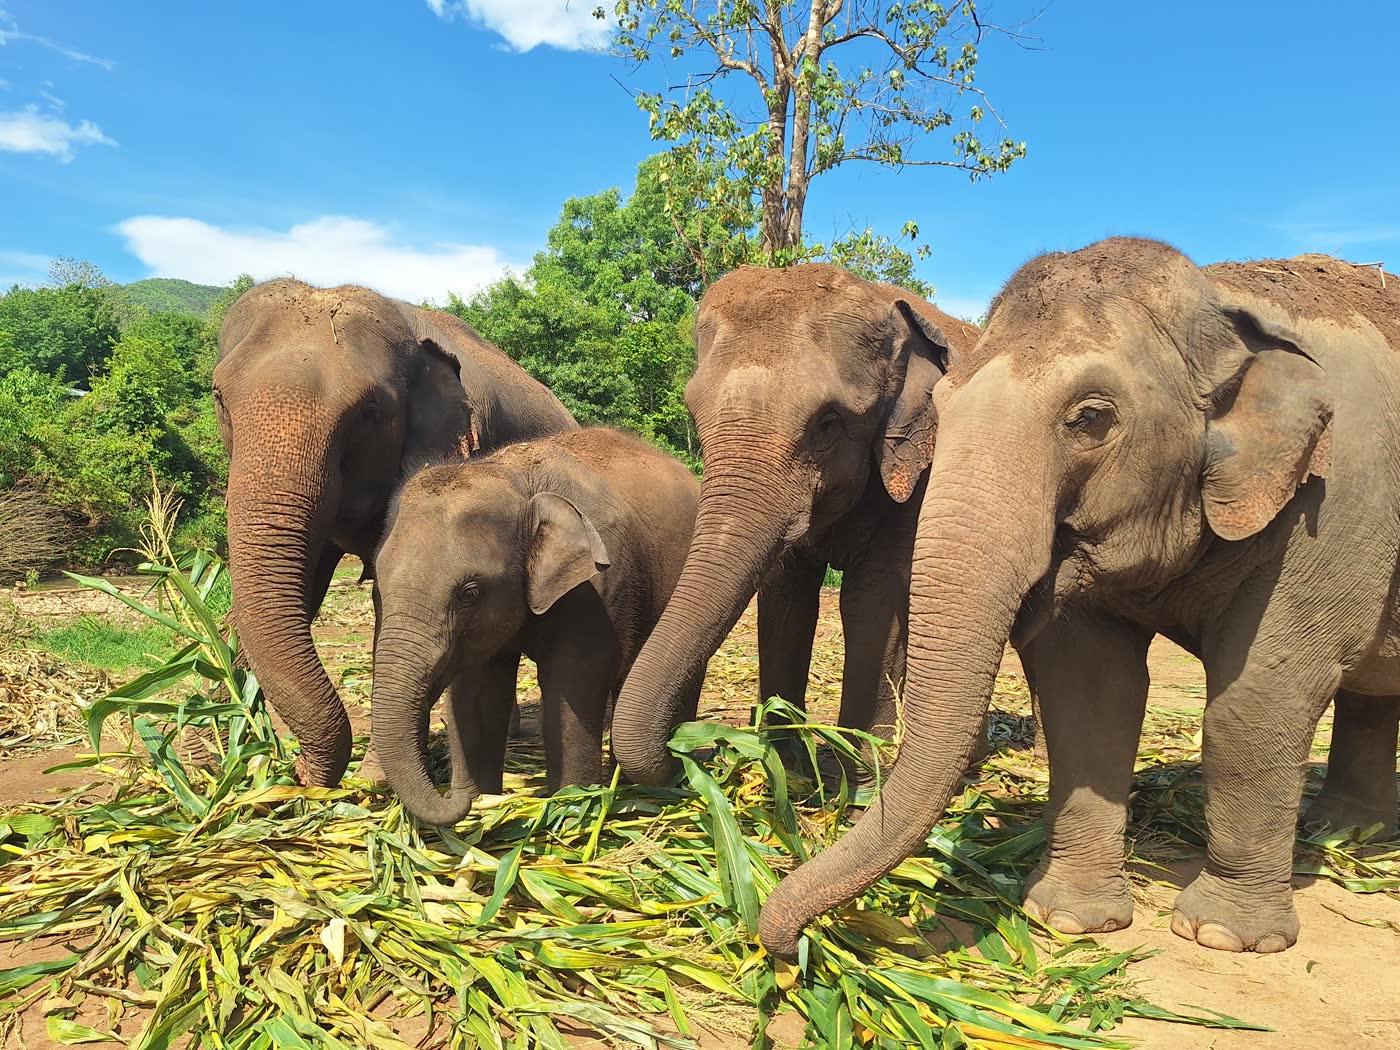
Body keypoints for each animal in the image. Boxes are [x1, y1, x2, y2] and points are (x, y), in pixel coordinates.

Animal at [214, 279, 577, 787]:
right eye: (218, 397)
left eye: (369, 412)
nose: (297, 768)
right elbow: (304, 589)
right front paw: (209, 761)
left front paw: (374, 781)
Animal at [370, 427, 701, 824]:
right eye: (378, 582)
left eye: (469, 592)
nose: (450, 793)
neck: (516, 480)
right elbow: (479, 688)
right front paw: (482, 801)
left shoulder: (598, 584)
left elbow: (573, 681)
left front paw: (570, 806)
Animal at [612, 263, 980, 788]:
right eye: (692, 413)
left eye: (828, 423)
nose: (687, 749)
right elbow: (787, 598)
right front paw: (787, 767)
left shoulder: (918, 474)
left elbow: (872, 601)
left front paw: (862, 782)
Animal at [758, 238, 1400, 959]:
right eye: (941, 407)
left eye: (1091, 419)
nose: (781, 939)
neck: (1223, 303)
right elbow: (1091, 690)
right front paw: (1066, 919)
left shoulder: (1336, 506)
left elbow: (1259, 697)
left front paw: (1222, 935)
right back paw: (1347, 833)